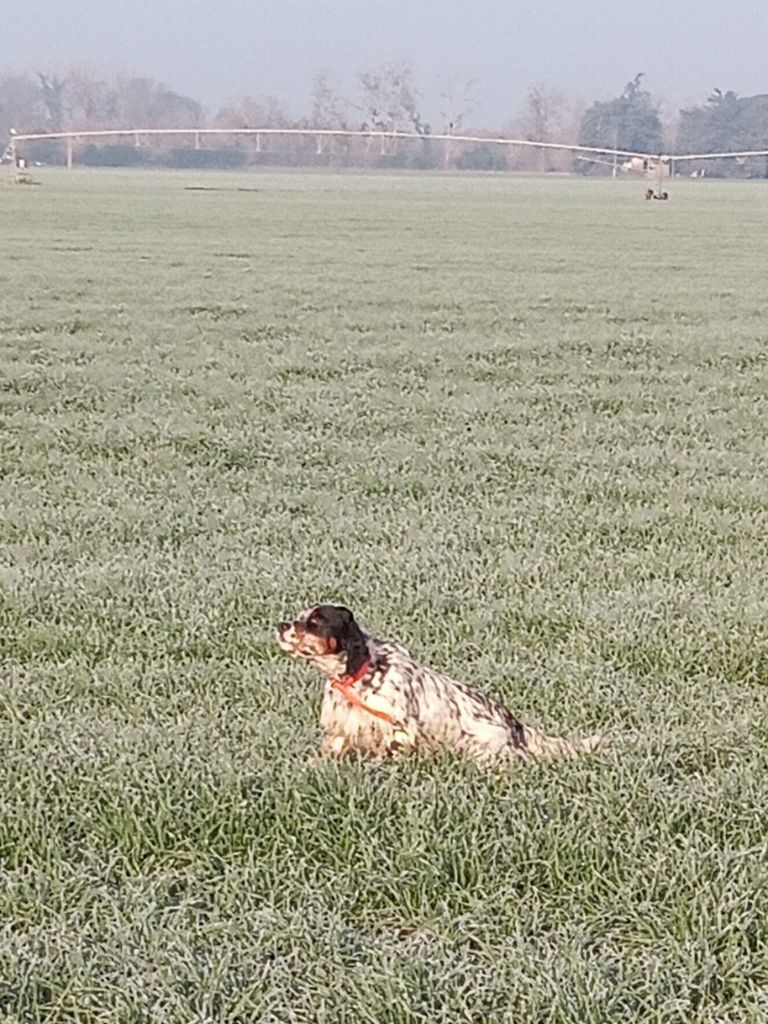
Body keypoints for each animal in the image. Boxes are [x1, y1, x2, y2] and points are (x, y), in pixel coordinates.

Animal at [274, 602, 606, 765]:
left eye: (314, 622)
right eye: (300, 616)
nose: (280, 625)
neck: (361, 675)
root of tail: (517, 727)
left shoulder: (400, 731)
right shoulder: (339, 732)